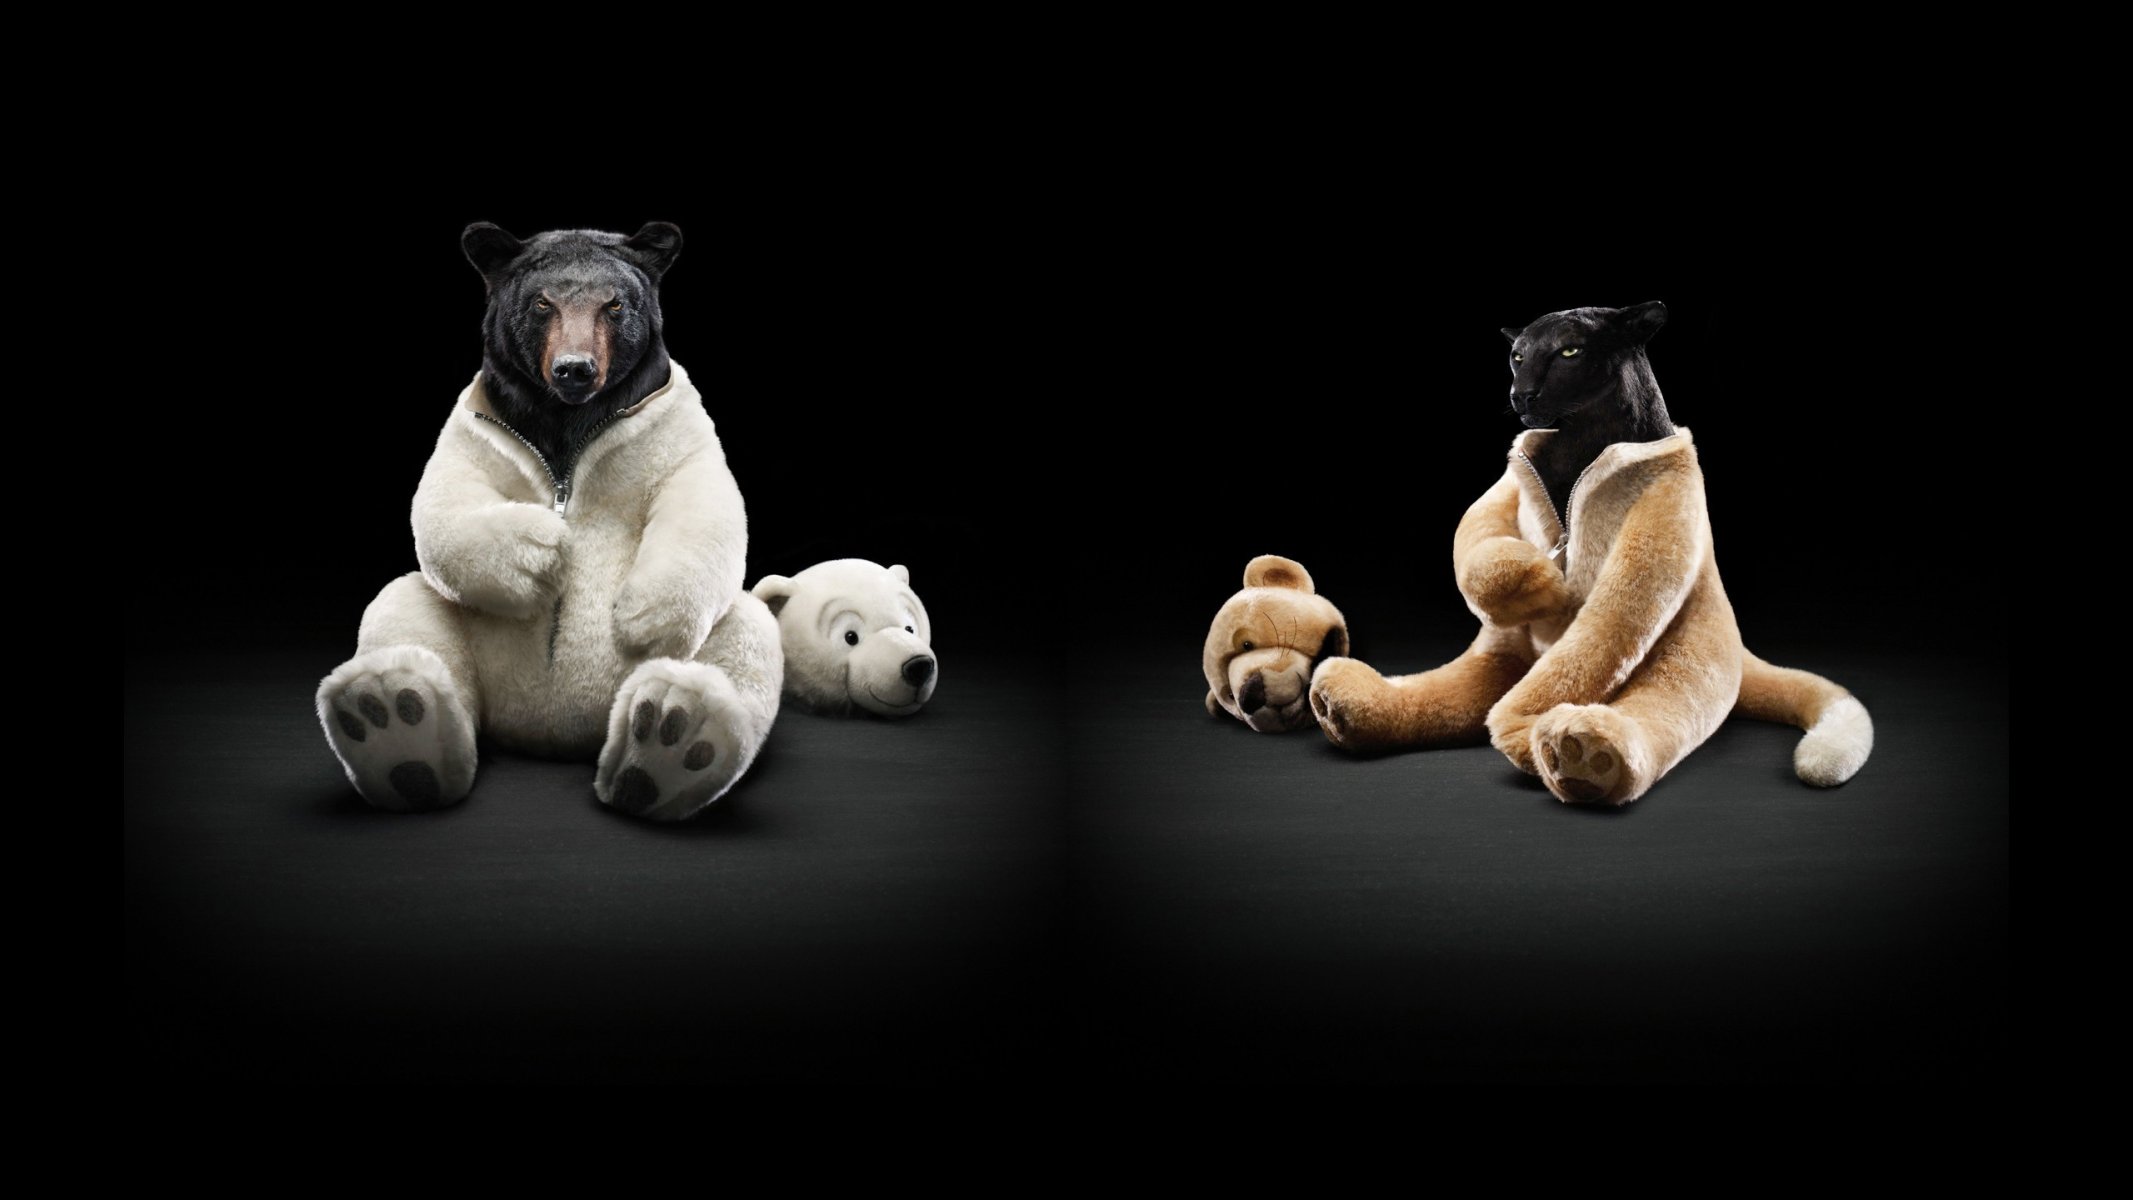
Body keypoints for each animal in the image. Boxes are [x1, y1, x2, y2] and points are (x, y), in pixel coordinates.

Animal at [314, 221, 783, 822]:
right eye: (542, 303)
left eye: (614, 304)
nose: (575, 368)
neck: (567, 419)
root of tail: (552, 735)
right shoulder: (477, 427)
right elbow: (446, 499)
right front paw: (542, 552)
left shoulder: (673, 425)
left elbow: (702, 496)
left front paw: (642, 615)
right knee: (405, 608)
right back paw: (393, 722)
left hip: (715, 640)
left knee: (743, 634)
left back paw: (670, 740)